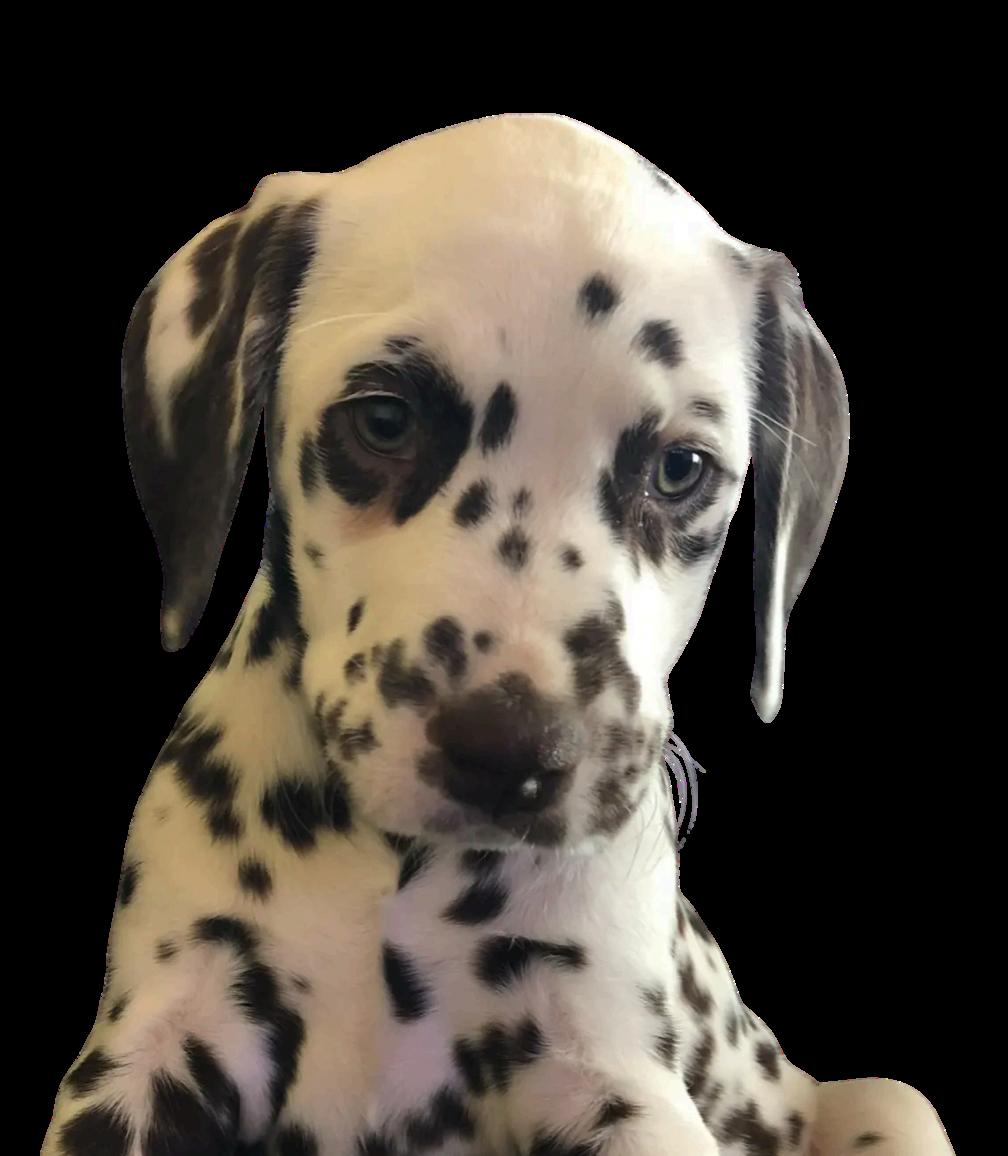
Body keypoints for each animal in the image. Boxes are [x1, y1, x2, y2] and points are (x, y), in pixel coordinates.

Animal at [43, 114, 952, 1155]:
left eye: (681, 469)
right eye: (384, 419)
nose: (512, 753)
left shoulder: (608, 1069)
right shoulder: (155, 1040)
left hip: (888, 1102)